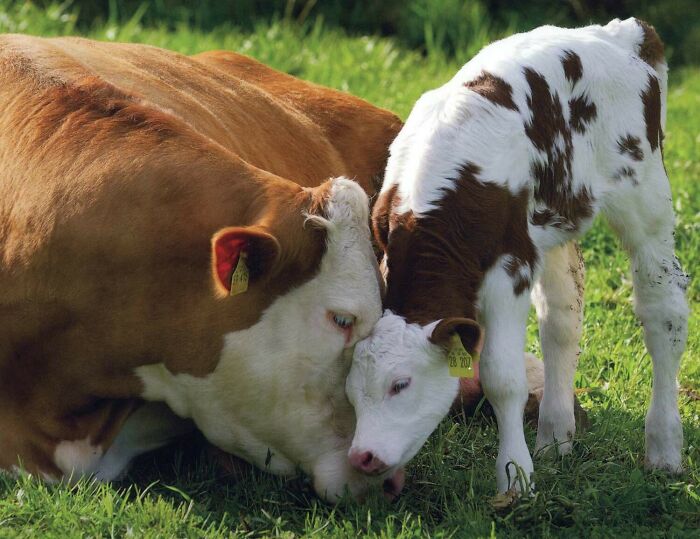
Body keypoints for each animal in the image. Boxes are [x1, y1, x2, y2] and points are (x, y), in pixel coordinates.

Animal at [346, 18, 689, 495]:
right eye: (350, 392)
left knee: (664, 311)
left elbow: (502, 378)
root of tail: (623, 32)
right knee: (563, 317)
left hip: (645, 192)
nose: (362, 456)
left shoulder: (509, 268)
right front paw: (529, 462)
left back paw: (664, 449)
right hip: (555, 218)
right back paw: (554, 438)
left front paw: (514, 477)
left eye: (401, 384)